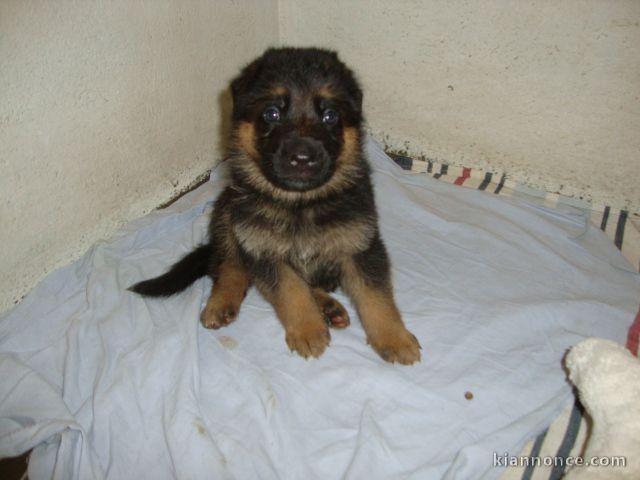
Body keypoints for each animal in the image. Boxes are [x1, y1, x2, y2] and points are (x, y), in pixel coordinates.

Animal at [130, 47, 420, 364]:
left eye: (330, 115)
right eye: (272, 113)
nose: (302, 158)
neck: (300, 203)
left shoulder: (361, 245)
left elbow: (375, 296)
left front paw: (394, 337)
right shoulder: (263, 249)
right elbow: (292, 291)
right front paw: (308, 330)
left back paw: (328, 306)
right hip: (227, 213)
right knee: (228, 264)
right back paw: (222, 300)